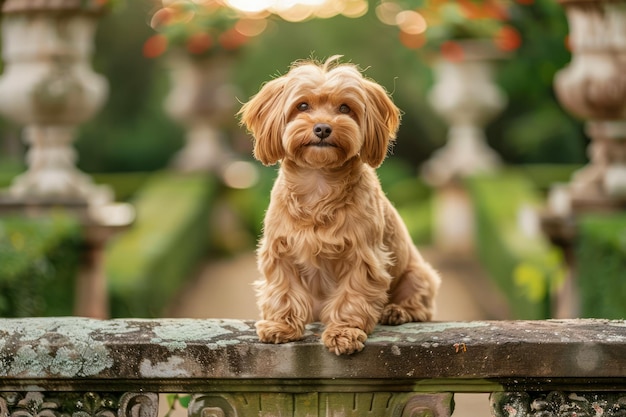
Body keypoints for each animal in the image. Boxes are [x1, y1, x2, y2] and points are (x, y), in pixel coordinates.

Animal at [239, 54, 438, 354]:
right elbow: (283, 290)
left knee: (421, 306)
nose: (322, 128)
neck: (319, 183)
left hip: (419, 275)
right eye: (302, 105)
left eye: (345, 108)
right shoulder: (280, 251)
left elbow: (352, 296)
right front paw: (281, 326)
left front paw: (344, 332)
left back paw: (396, 311)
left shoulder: (363, 257)